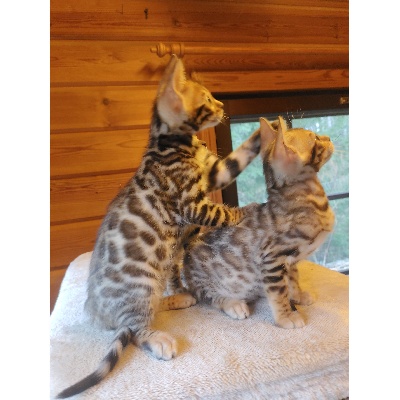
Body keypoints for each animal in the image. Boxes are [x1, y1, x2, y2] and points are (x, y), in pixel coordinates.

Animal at [56, 55, 262, 398]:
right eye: (207, 99)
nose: (222, 105)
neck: (169, 144)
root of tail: (95, 313)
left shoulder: (213, 174)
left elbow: (236, 159)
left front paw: (269, 131)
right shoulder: (193, 203)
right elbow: (222, 213)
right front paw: (245, 211)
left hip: (159, 272)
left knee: (156, 302)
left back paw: (177, 298)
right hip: (141, 283)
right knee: (136, 328)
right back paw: (158, 338)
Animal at [182, 116, 335, 329]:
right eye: (315, 139)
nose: (328, 138)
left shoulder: (289, 261)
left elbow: (293, 279)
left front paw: (297, 295)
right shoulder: (271, 257)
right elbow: (279, 293)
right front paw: (286, 317)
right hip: (204, 282)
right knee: (209, 296)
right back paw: (233, 304)